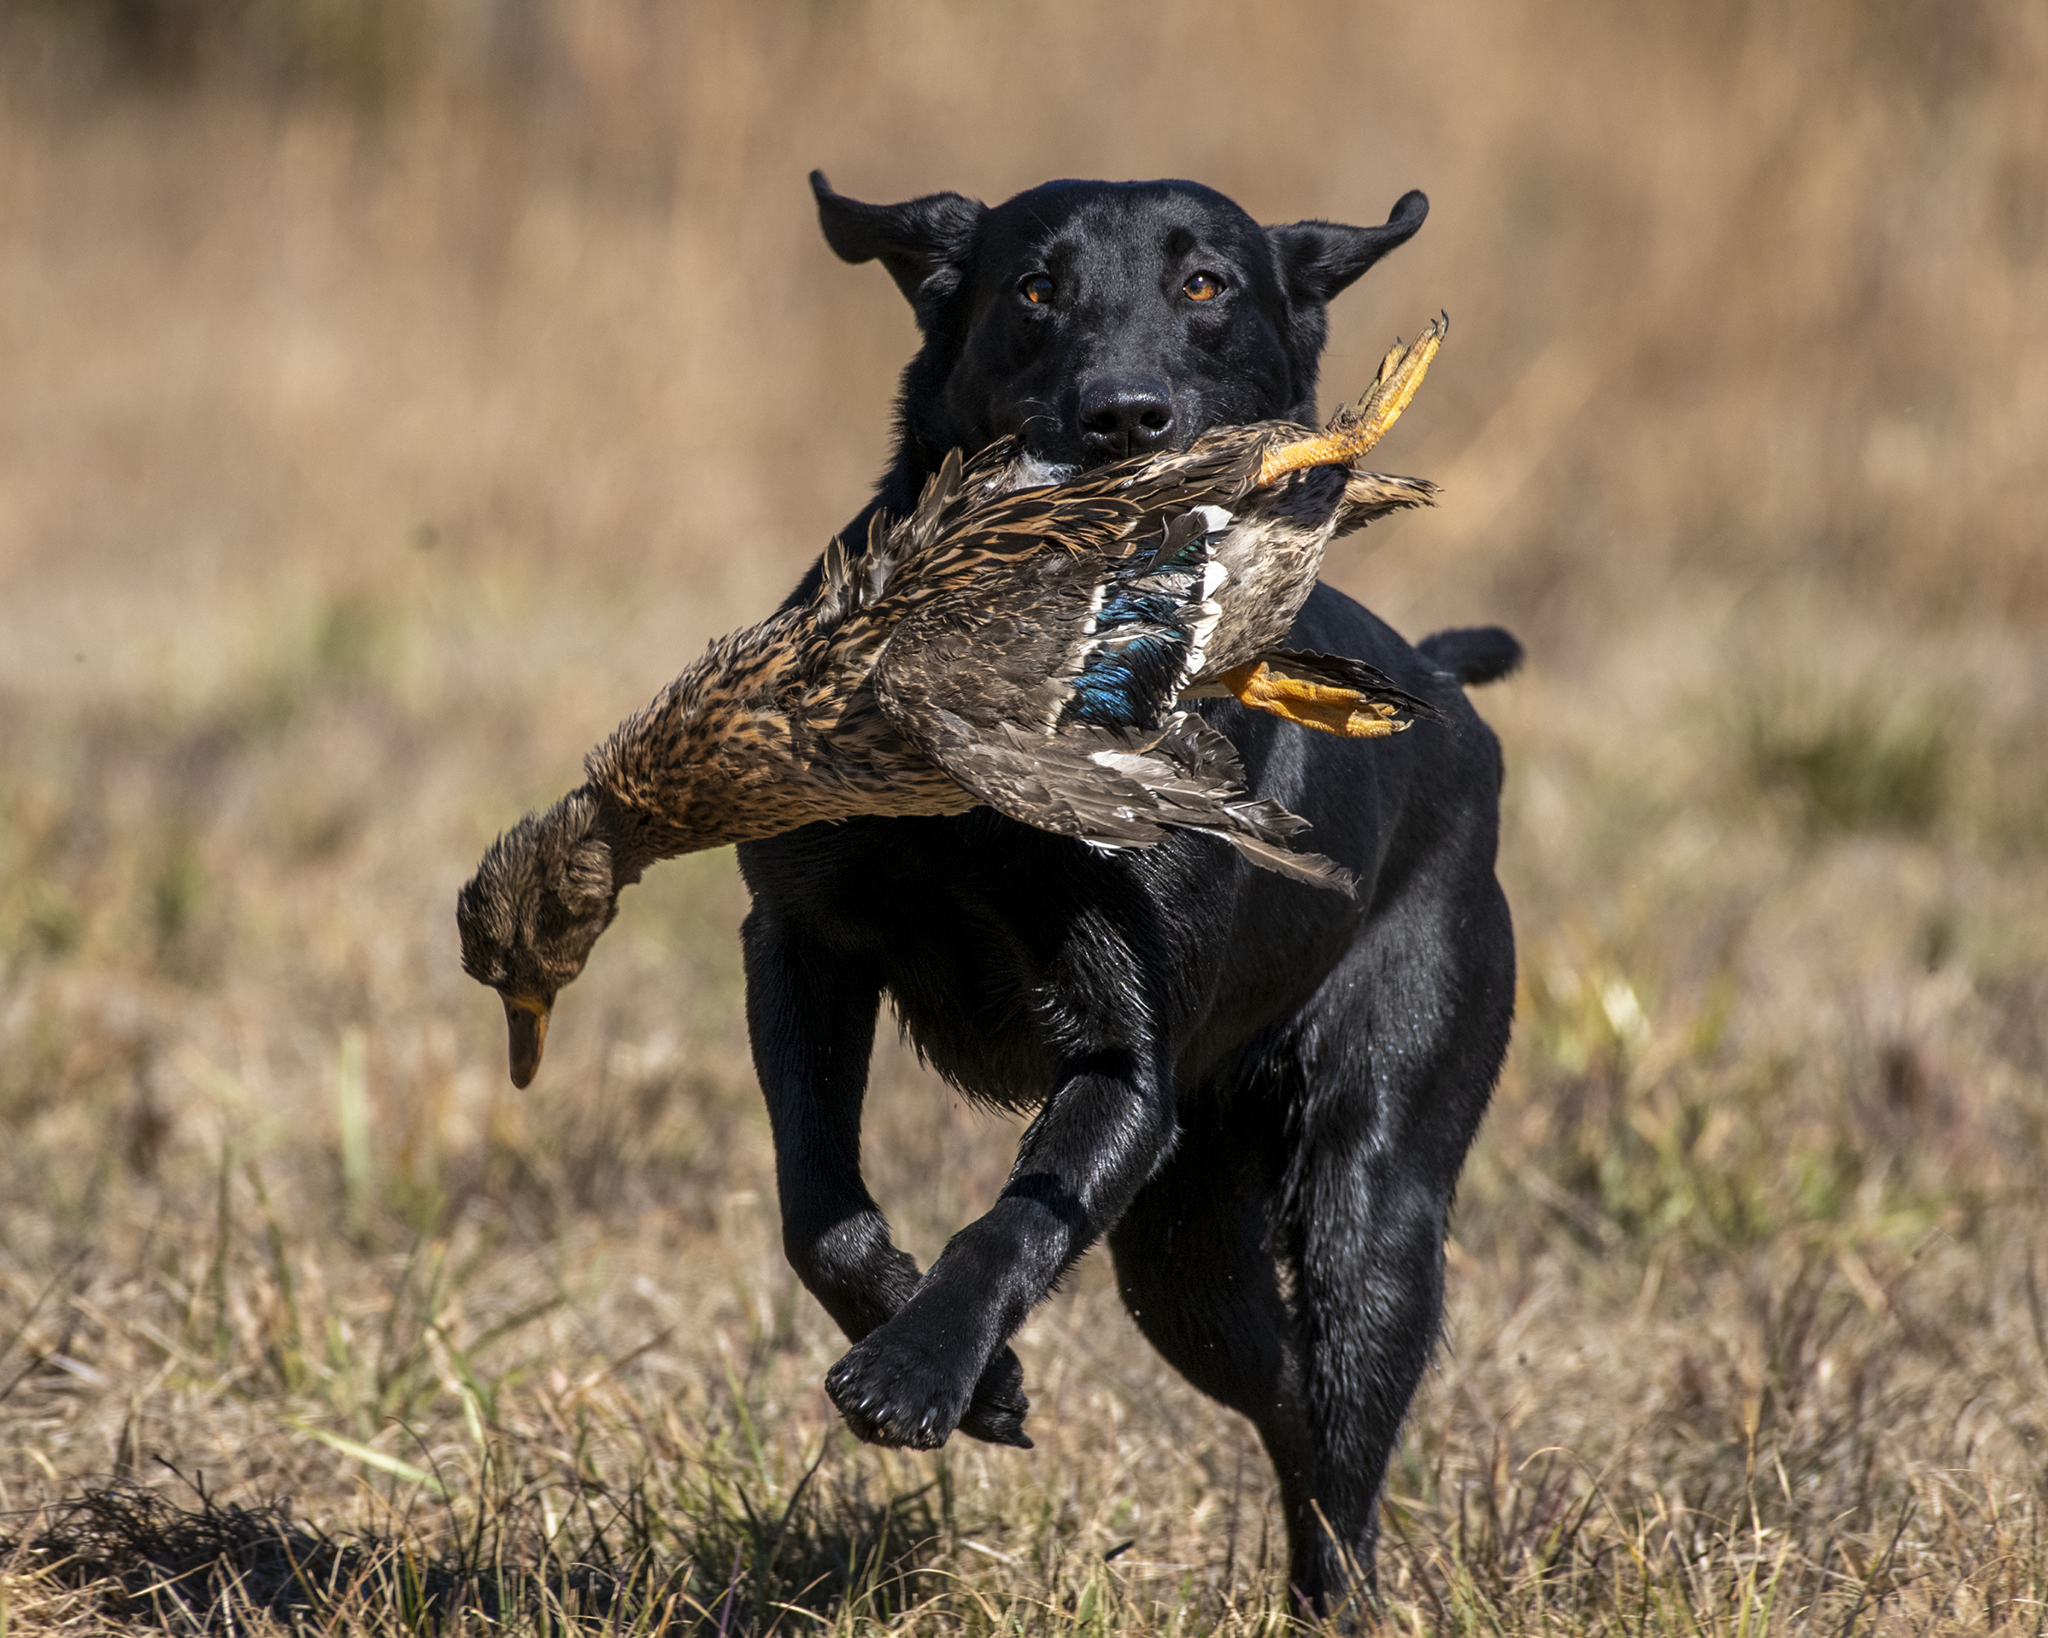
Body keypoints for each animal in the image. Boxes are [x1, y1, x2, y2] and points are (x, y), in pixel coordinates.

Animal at [737, 169, 1523, 1613]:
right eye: (1034, 288)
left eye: (1205, 282)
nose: (1123, 414)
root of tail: (1443, 695)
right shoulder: (803, 945)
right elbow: (818, 1199)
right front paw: (974, 1373)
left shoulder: (1127, 1062)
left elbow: (1008, 1228)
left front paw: (920, 1370)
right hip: (1183, 1254)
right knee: (1285, 1399)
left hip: (1372, 1185)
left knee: (1346, 1431)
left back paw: (1340, 1600)